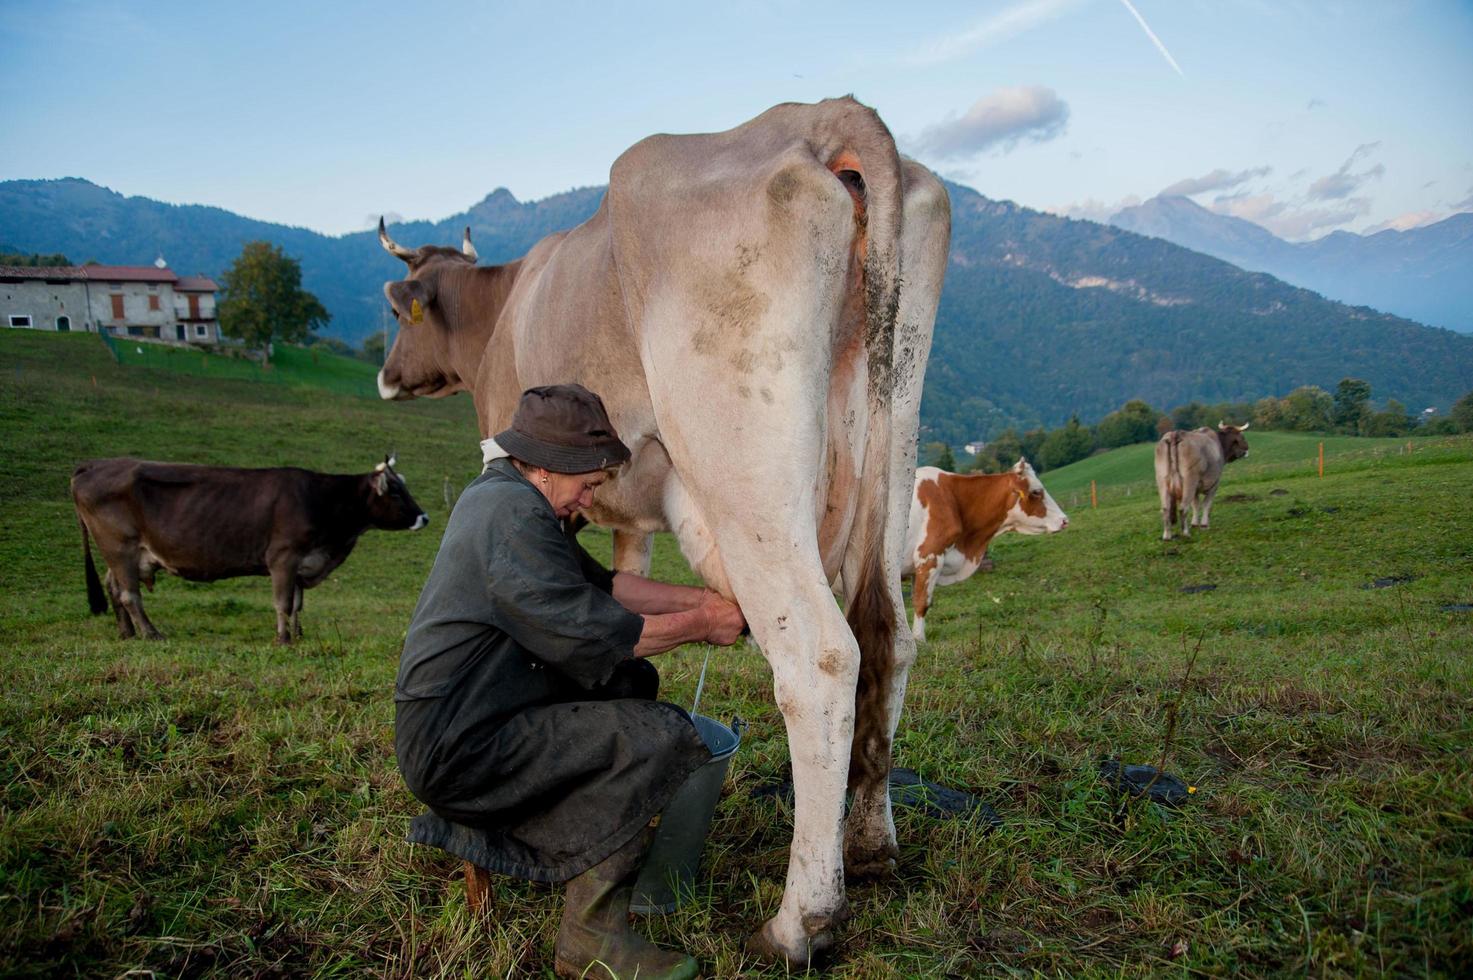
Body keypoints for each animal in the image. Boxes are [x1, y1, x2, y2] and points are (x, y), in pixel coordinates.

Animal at [72, 453, 430, 642]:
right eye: (395, 491)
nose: (424, 517)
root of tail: (95, 464)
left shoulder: (301, 564)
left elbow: (297, 604)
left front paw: (298, 634)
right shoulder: (283, 558)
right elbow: (283, 603)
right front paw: (284, 639)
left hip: (123, 554)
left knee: (113, 586)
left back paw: (126, 632)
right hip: (120, 547)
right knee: (129, 594)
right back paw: (150, 632)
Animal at [374, 97, 948, 960]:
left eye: (396, 312)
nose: (385, 376)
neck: (504, 309)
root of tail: (824, 116)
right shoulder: (629, 522)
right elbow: (621, 592)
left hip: (744, 461)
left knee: (820, 657)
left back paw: (800, 921)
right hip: (893, 437)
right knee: (888, 638)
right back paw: (873, 848)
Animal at [895, 459, 1072, 642]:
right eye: (1037, 491)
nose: (1064, 520)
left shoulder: (917, 567)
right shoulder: (930, 556)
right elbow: (922, 602)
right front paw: (918, 640)